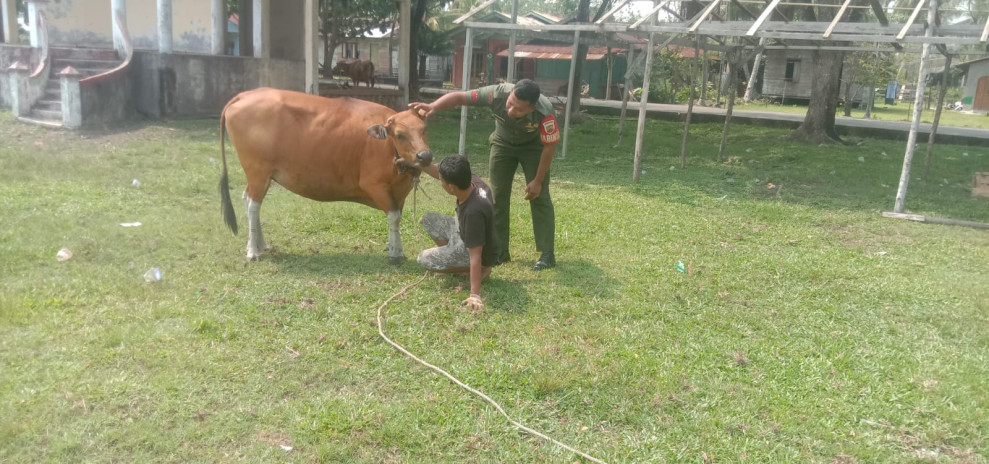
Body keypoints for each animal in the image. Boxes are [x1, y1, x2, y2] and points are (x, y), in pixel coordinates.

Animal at [218, 89, 430, 262]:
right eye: (400, 135)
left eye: (423, 130)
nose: (425, 156)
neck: (387, 147)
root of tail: (244, 95)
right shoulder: (375, 186)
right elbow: (394, 217)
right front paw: (395, 254)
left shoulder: (398, 194)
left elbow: (396, 217)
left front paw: (396, 249)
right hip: (257, 171)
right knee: (253, 205)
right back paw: (252, 251)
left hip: (264, 175)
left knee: (248, 199)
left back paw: (260, 244)